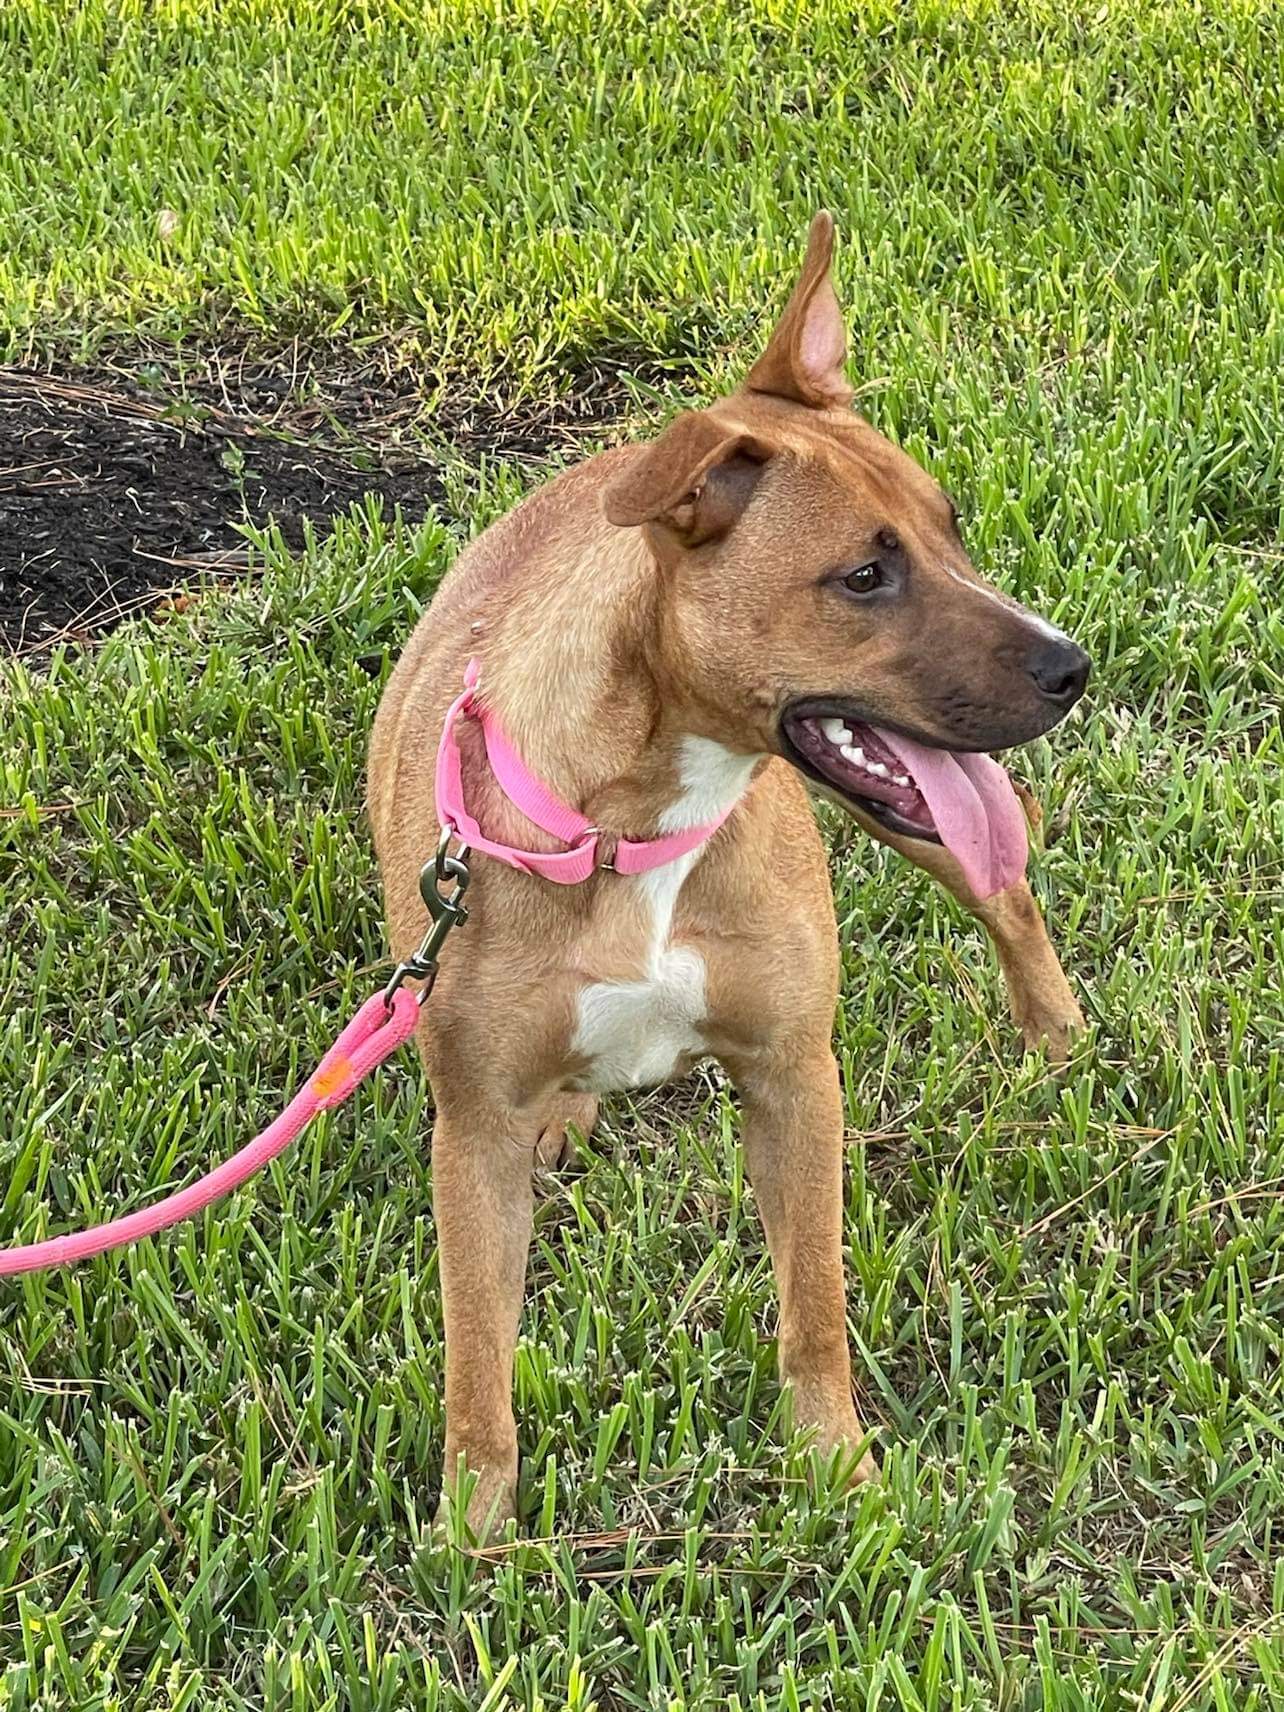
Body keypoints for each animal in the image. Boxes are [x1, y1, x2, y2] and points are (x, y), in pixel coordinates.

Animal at [366, 214, 1088, 1540]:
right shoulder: (473, 1132)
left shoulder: (796, 1077)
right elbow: (476, 1359)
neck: (636, 825)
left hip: (933, 835)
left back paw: (1057, 1034)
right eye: (864, 575)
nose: (1073, 666)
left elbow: (815, 1311)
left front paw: (838, 1473)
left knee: (1007, 892)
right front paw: (475, 1538)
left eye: (952, 529)